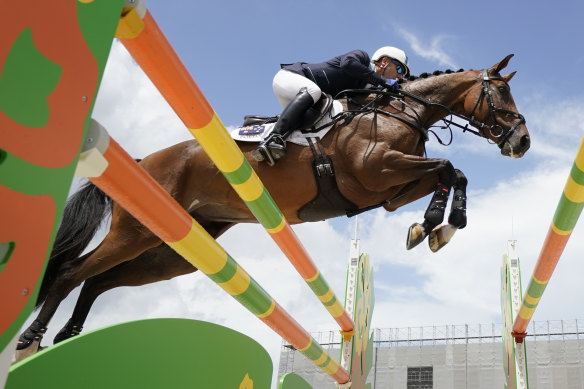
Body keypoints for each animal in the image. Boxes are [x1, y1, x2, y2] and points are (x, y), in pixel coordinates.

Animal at [16, 53, 532, 358]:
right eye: (502, 92)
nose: (522, 141)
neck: (398, 111)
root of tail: (146, 160)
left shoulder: (388, 192)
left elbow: (448, 173)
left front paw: (431, 228)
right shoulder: (378, 171)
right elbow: (449, 166)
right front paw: (443, 225)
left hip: (174, 251)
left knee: (98, 279)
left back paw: (67, 335)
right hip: (136, 232)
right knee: (71, 273)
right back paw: (31, 339)